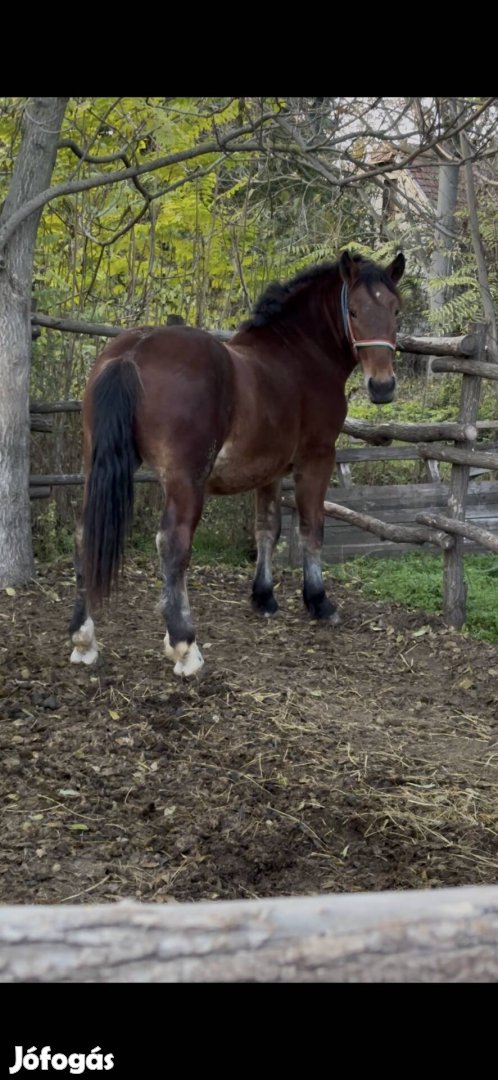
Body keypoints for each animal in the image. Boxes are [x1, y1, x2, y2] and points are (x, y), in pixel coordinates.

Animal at [68, 250, 404, 673]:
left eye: (396, 309)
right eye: (355, 310)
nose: (383, 386)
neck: (300, 354)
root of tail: (132, 352)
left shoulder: (270, 470)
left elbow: (267, 529)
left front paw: (264, 597)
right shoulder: (316, 458)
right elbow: (311, 528)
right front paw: (318, 600)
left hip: (96, 466)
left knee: (83, 533)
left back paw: (84, 638)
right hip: (186, 481)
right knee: (173, 543)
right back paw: (185, 645)